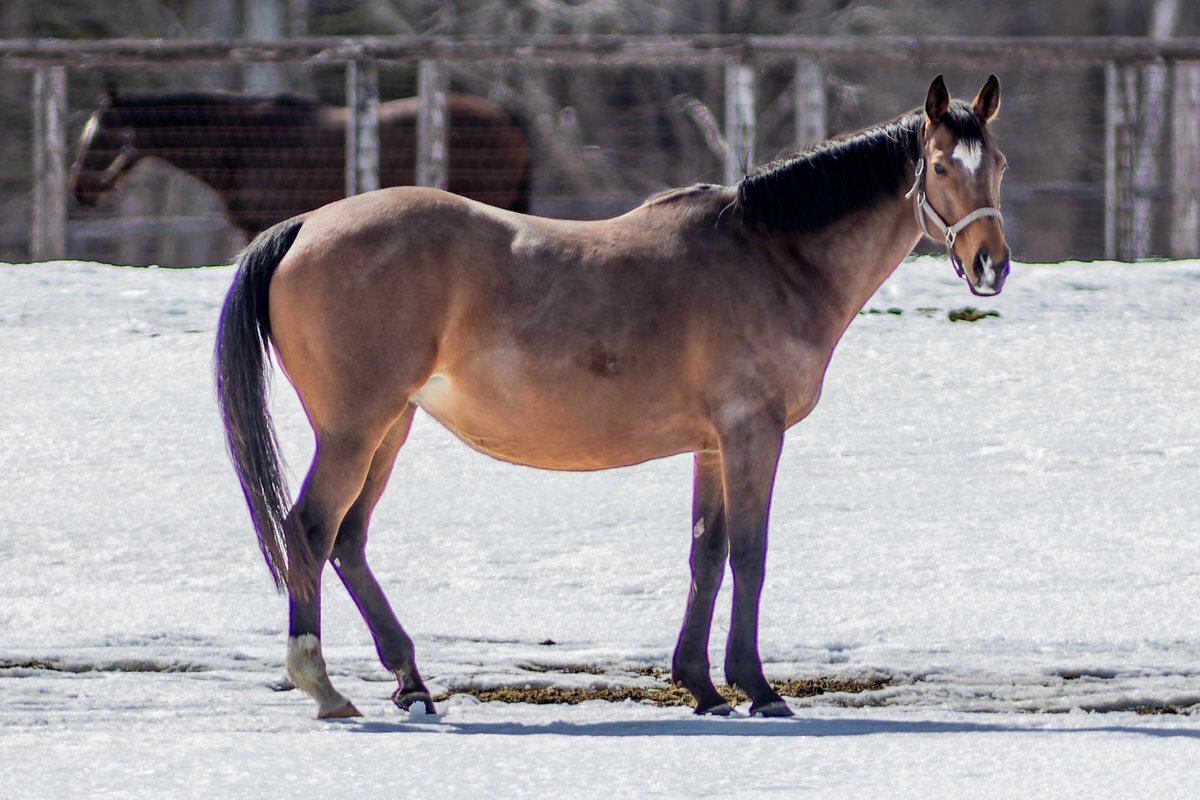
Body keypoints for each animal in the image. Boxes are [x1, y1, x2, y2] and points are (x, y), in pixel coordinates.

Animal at [214, 74, 1009, 719]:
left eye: (996, 164)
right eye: (941, 165)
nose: (991, 266)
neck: (770, 257)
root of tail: (306, 226)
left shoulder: (712, 445)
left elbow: (706, 554)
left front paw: (702, 686)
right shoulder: (753, 432)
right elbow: (749, 554)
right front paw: (757, 687)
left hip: (391, 425)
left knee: (348, 540)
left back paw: (411, 682)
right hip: (356, 427)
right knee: (310, 530)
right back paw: (323, 685)